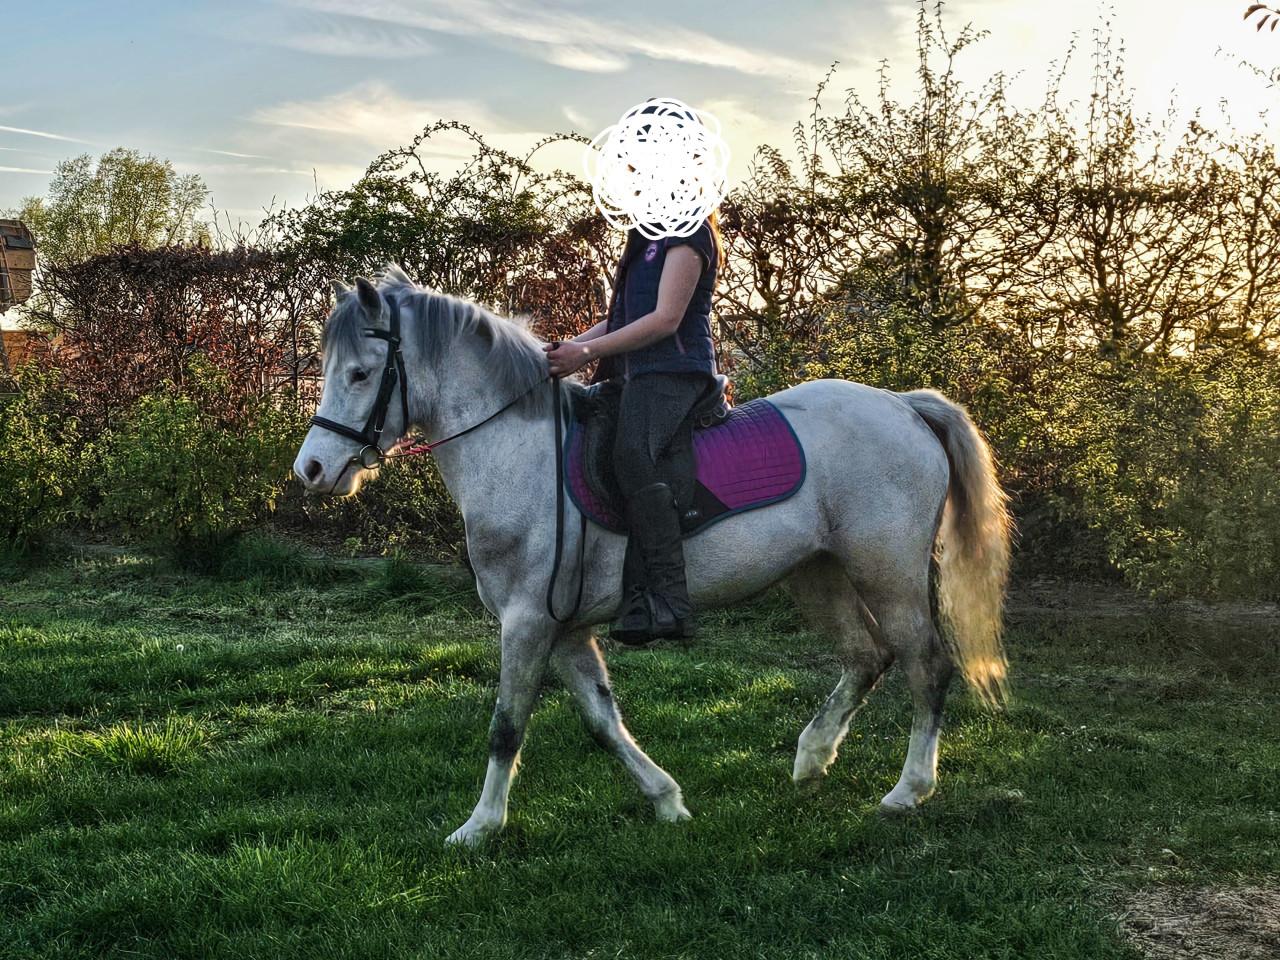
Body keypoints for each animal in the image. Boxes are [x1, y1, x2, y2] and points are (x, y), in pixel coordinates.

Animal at [293, 266, 1013, 846]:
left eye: (360, 374)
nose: (312, 469)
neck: (519, 455)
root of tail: (904, 407)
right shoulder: (563, 629)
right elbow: (602, 722)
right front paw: (668, 801)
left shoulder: (527, 621)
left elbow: (506, 725)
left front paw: (478, 828)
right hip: (817, 573)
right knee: (868, 657)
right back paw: (811, 759)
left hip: (887, 571)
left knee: (927, 663)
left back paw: (907, 790)